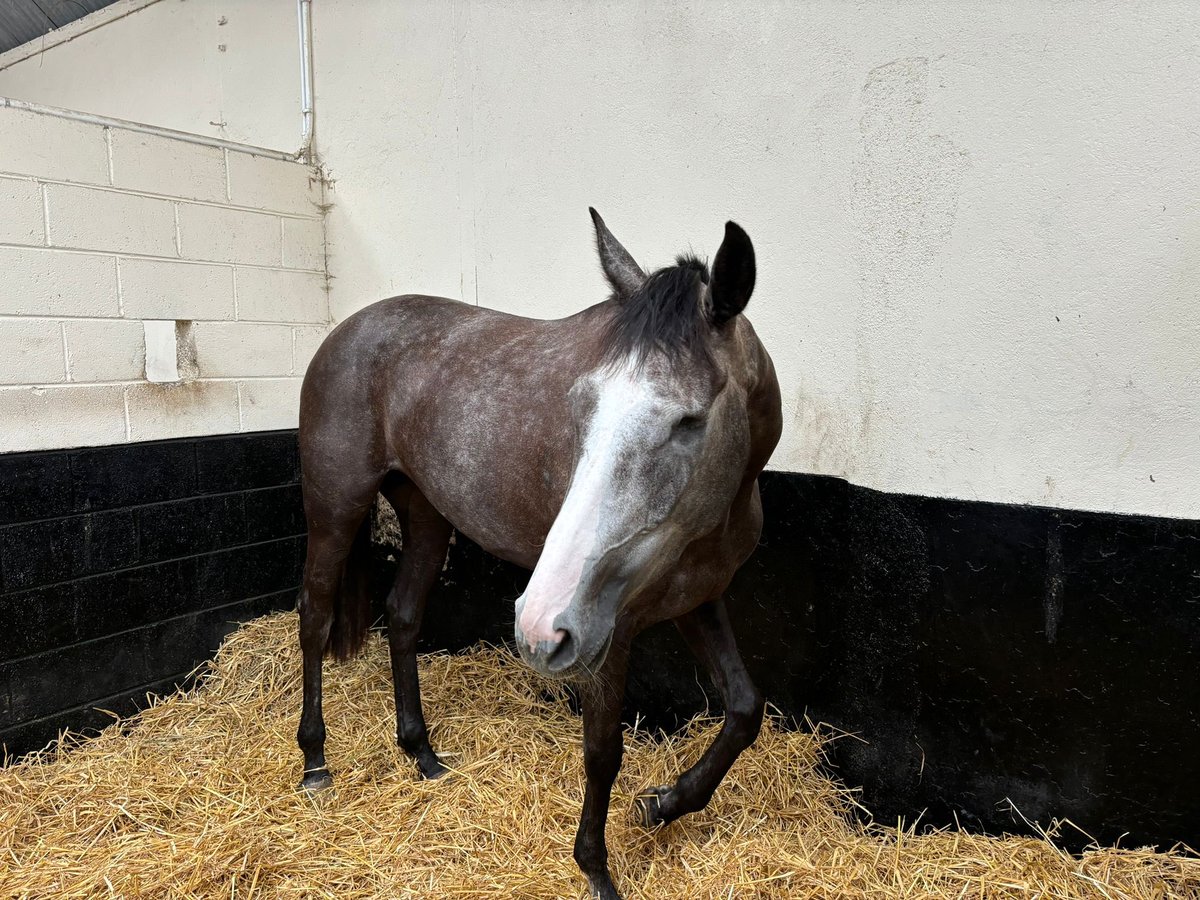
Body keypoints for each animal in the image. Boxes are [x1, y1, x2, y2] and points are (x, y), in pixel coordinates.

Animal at [295, 208, 782, 899]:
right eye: (581, 407)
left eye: (690, 420)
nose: (536, 625)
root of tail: (346, 330)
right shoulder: (609, 627)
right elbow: (603, 751)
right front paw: (597, 870)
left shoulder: (698, 599)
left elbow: (744, 709)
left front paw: (664, 804)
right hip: (336, 508)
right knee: (314, 616)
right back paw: (315, 760)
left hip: (427, 516)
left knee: (405, 615)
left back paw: (421, 753)